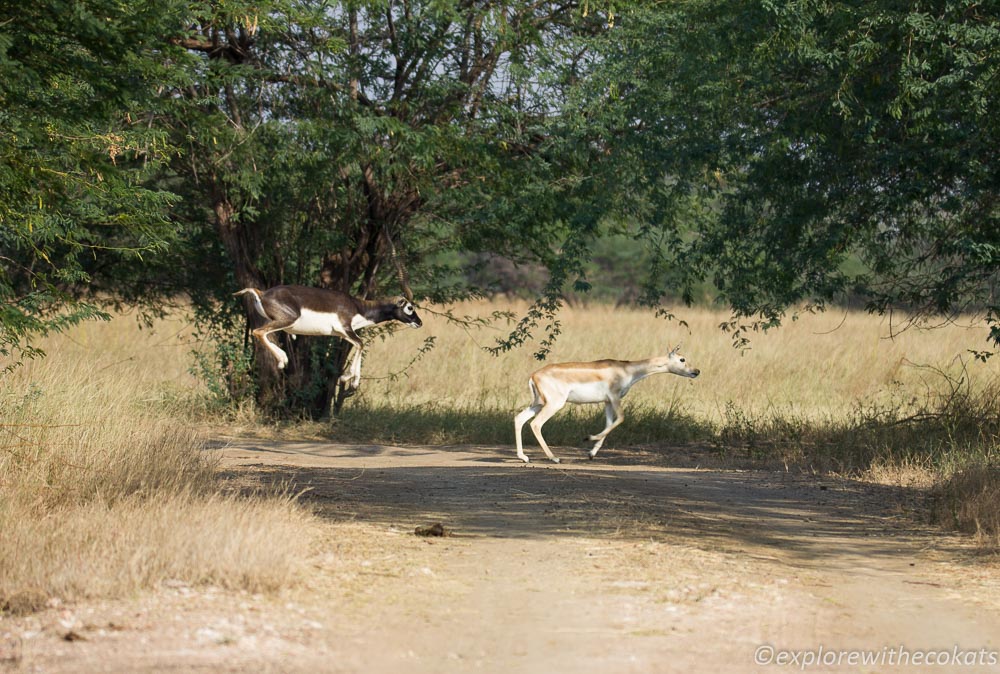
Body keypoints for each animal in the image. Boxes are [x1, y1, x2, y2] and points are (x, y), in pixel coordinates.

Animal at [234, 284, 422, 388]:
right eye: (410, 307)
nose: (419, 323)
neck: (359, 307)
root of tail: (262, 293)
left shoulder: (342, 334)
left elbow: (359, 345)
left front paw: (352, 381)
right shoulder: (345, 329)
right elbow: (360, 343)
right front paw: (348, 378)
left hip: (277, 323)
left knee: (261, 333)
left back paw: (283, 358)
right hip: (286, 320)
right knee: (258, 332)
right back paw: (282, 360)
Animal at [516, 346, 704, 462]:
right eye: (682, 359)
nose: (696, 371)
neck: (627, 370)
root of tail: (534, 375)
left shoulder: (607, 402)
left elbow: (608, 424)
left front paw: (591, 453)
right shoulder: (614, 398)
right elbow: (621, 419)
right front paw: (588, 438)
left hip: (538, 404)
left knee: (519, 419)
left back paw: (524, 457)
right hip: (553, 404)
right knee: (536, 424)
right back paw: (554, 458)